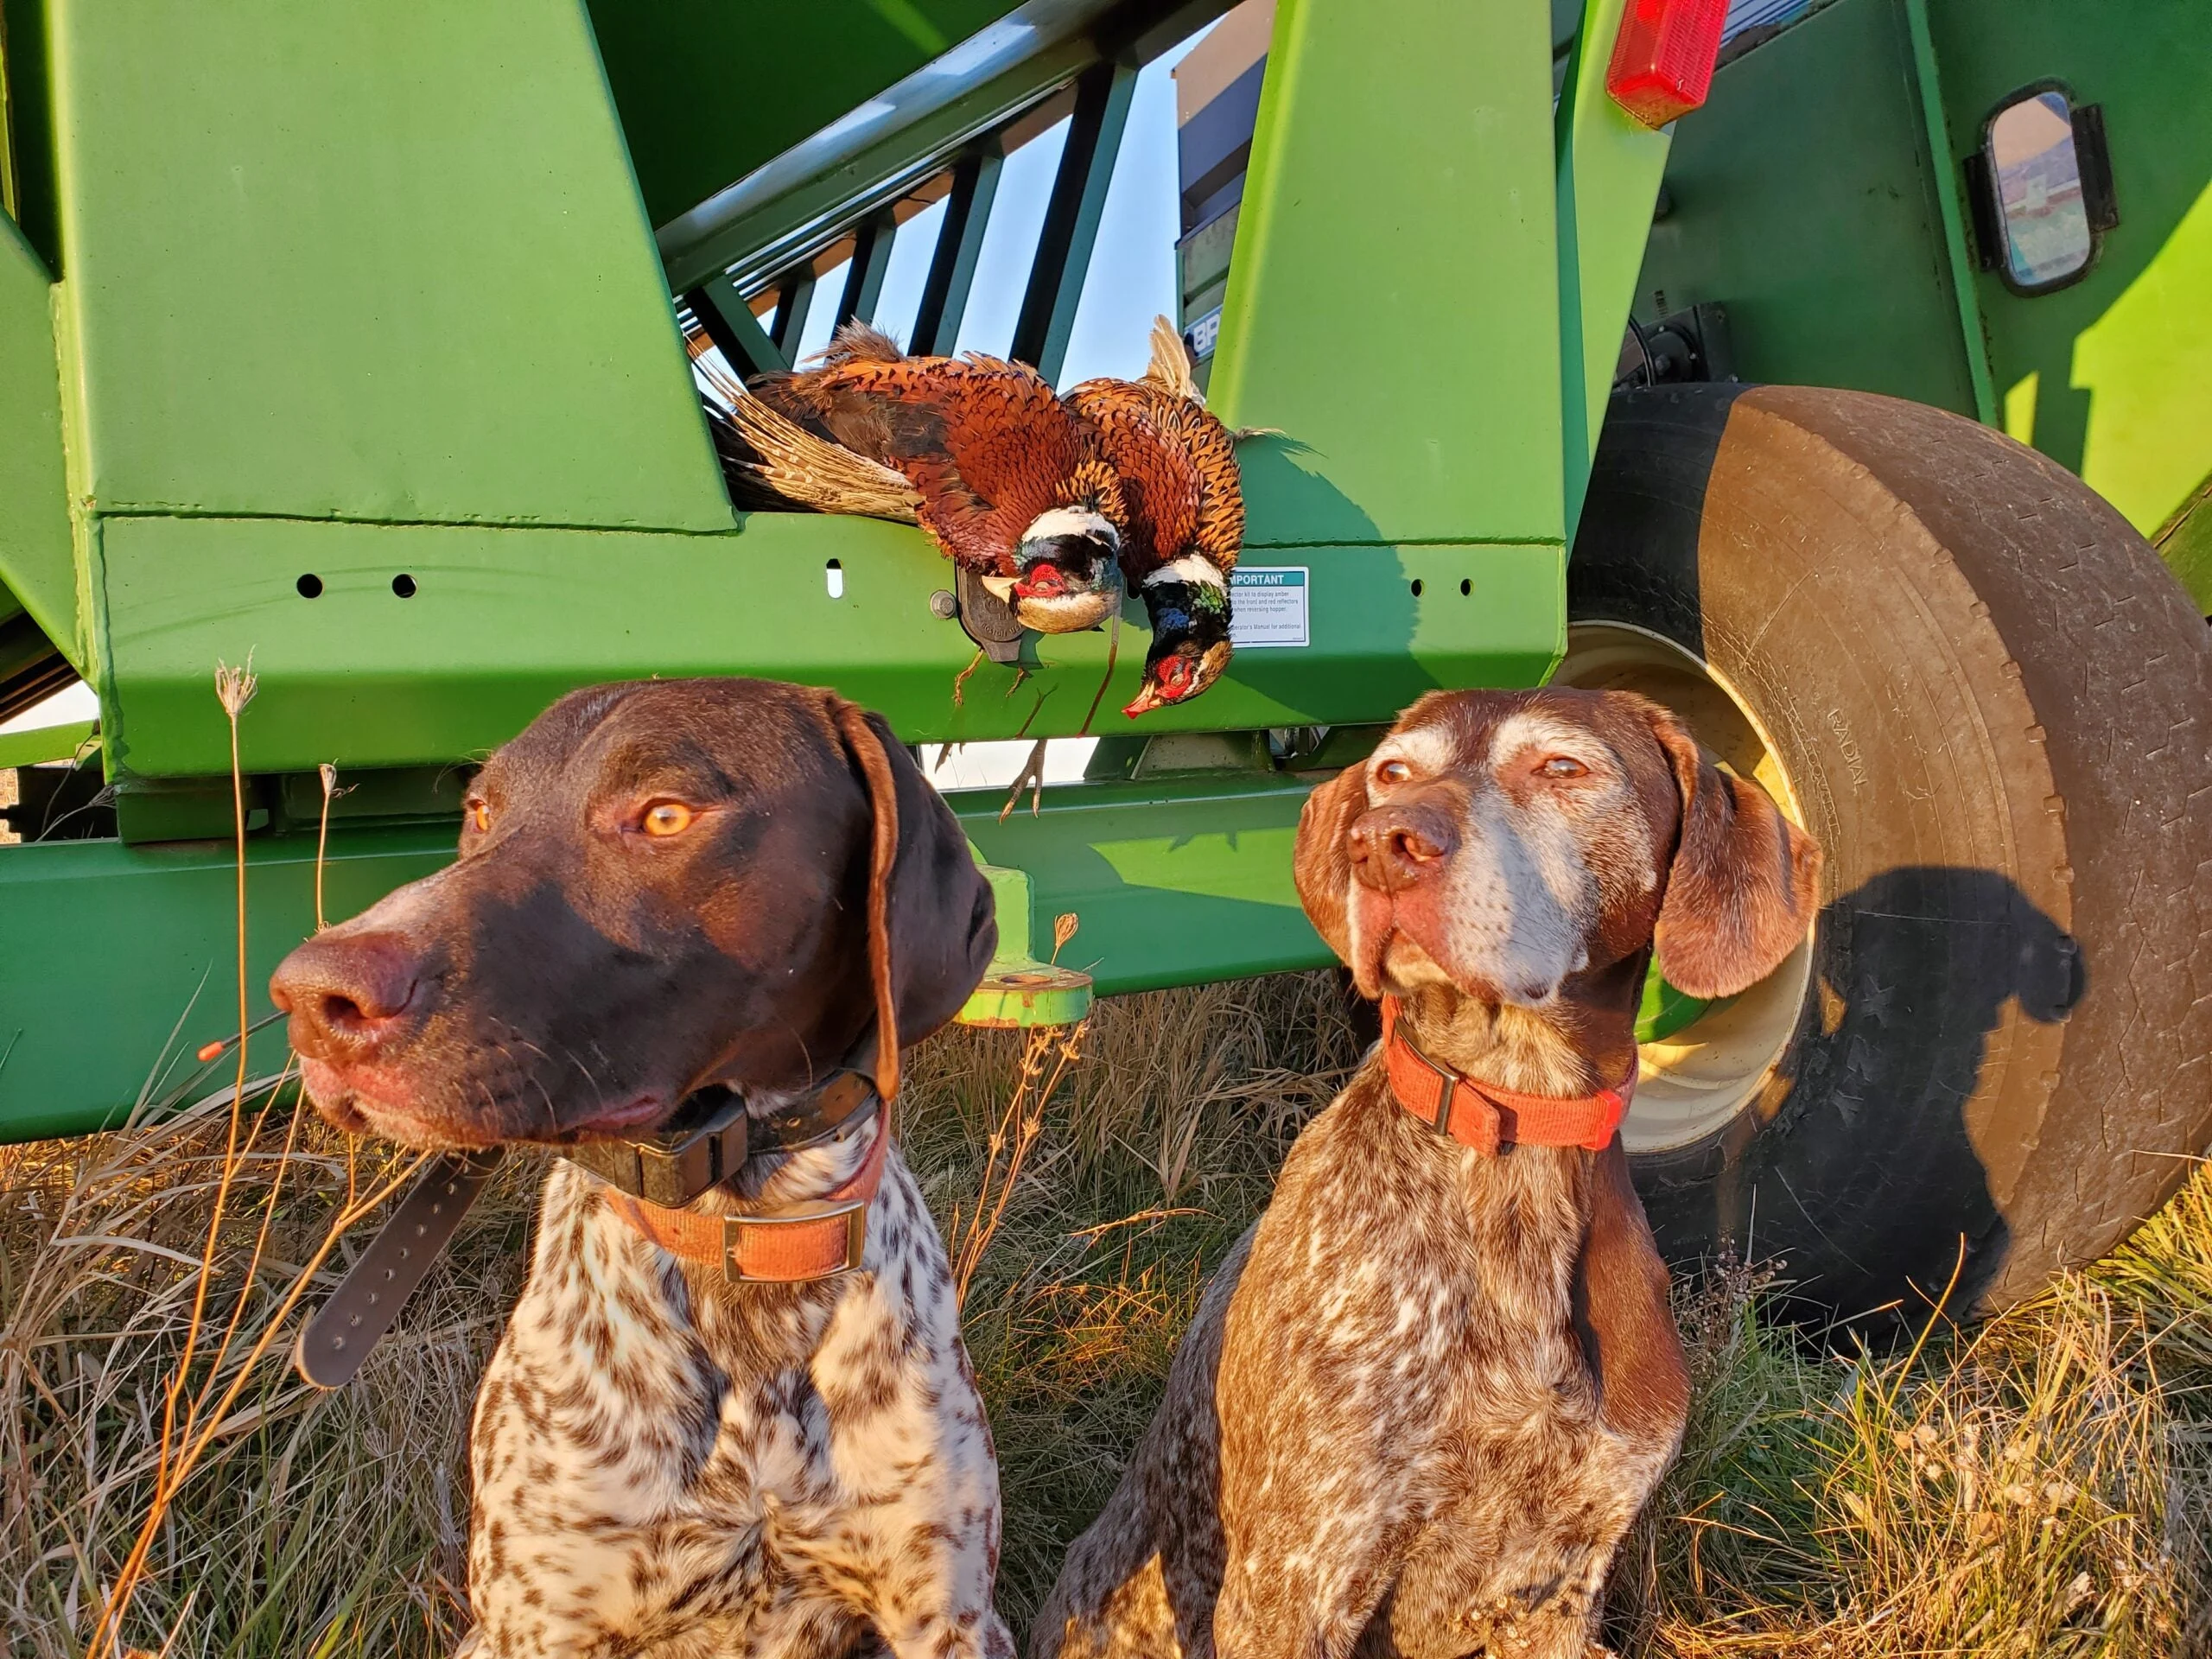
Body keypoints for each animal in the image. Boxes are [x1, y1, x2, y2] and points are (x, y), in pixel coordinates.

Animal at [267, 681, 1013, 1659]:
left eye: (664, 815)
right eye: (481, 812)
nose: (313, 997)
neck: (741, 1228)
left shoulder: (949, 1617)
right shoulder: (539, 1622)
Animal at [1030, 690, 1814, 1659]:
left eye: (1564, 768)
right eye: (1392, 771)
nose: (1382, 843)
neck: (1512, 1132)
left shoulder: (1558, 1589)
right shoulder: (1297, 1583)